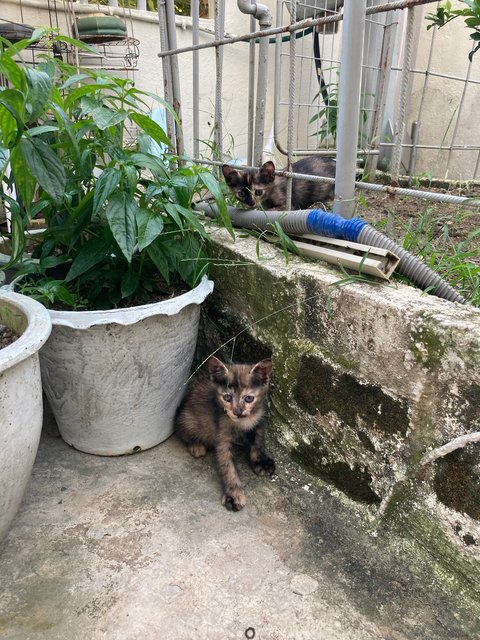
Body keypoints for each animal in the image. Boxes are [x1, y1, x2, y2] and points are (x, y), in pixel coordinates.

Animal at [175, 352, 274, 512]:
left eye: (249, 398)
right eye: (227, 397)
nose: (237, 411)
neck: (243, 423)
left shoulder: (259, 420)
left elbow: (258, 442)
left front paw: (261, 462)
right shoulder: (222, 439)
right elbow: (227, 467)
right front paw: (233, 494)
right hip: (188, 420)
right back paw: (197, 445)